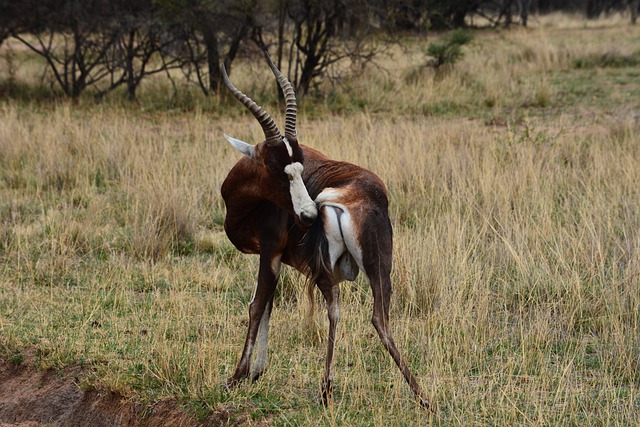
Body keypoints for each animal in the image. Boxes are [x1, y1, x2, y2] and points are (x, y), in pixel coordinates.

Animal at [221, 51, 430, 410]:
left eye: (300, 166)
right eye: (277, 168)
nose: (307, 215)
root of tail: (351, 196)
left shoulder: (270, 252)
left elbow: (257, 305)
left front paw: (238, 376)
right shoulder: (276, 258)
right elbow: (268, 304)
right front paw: (257, 372)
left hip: (324, 270)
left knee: (338, 308)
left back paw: (327, 389)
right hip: (379, 267)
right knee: (377, 316)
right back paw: (420, 395)